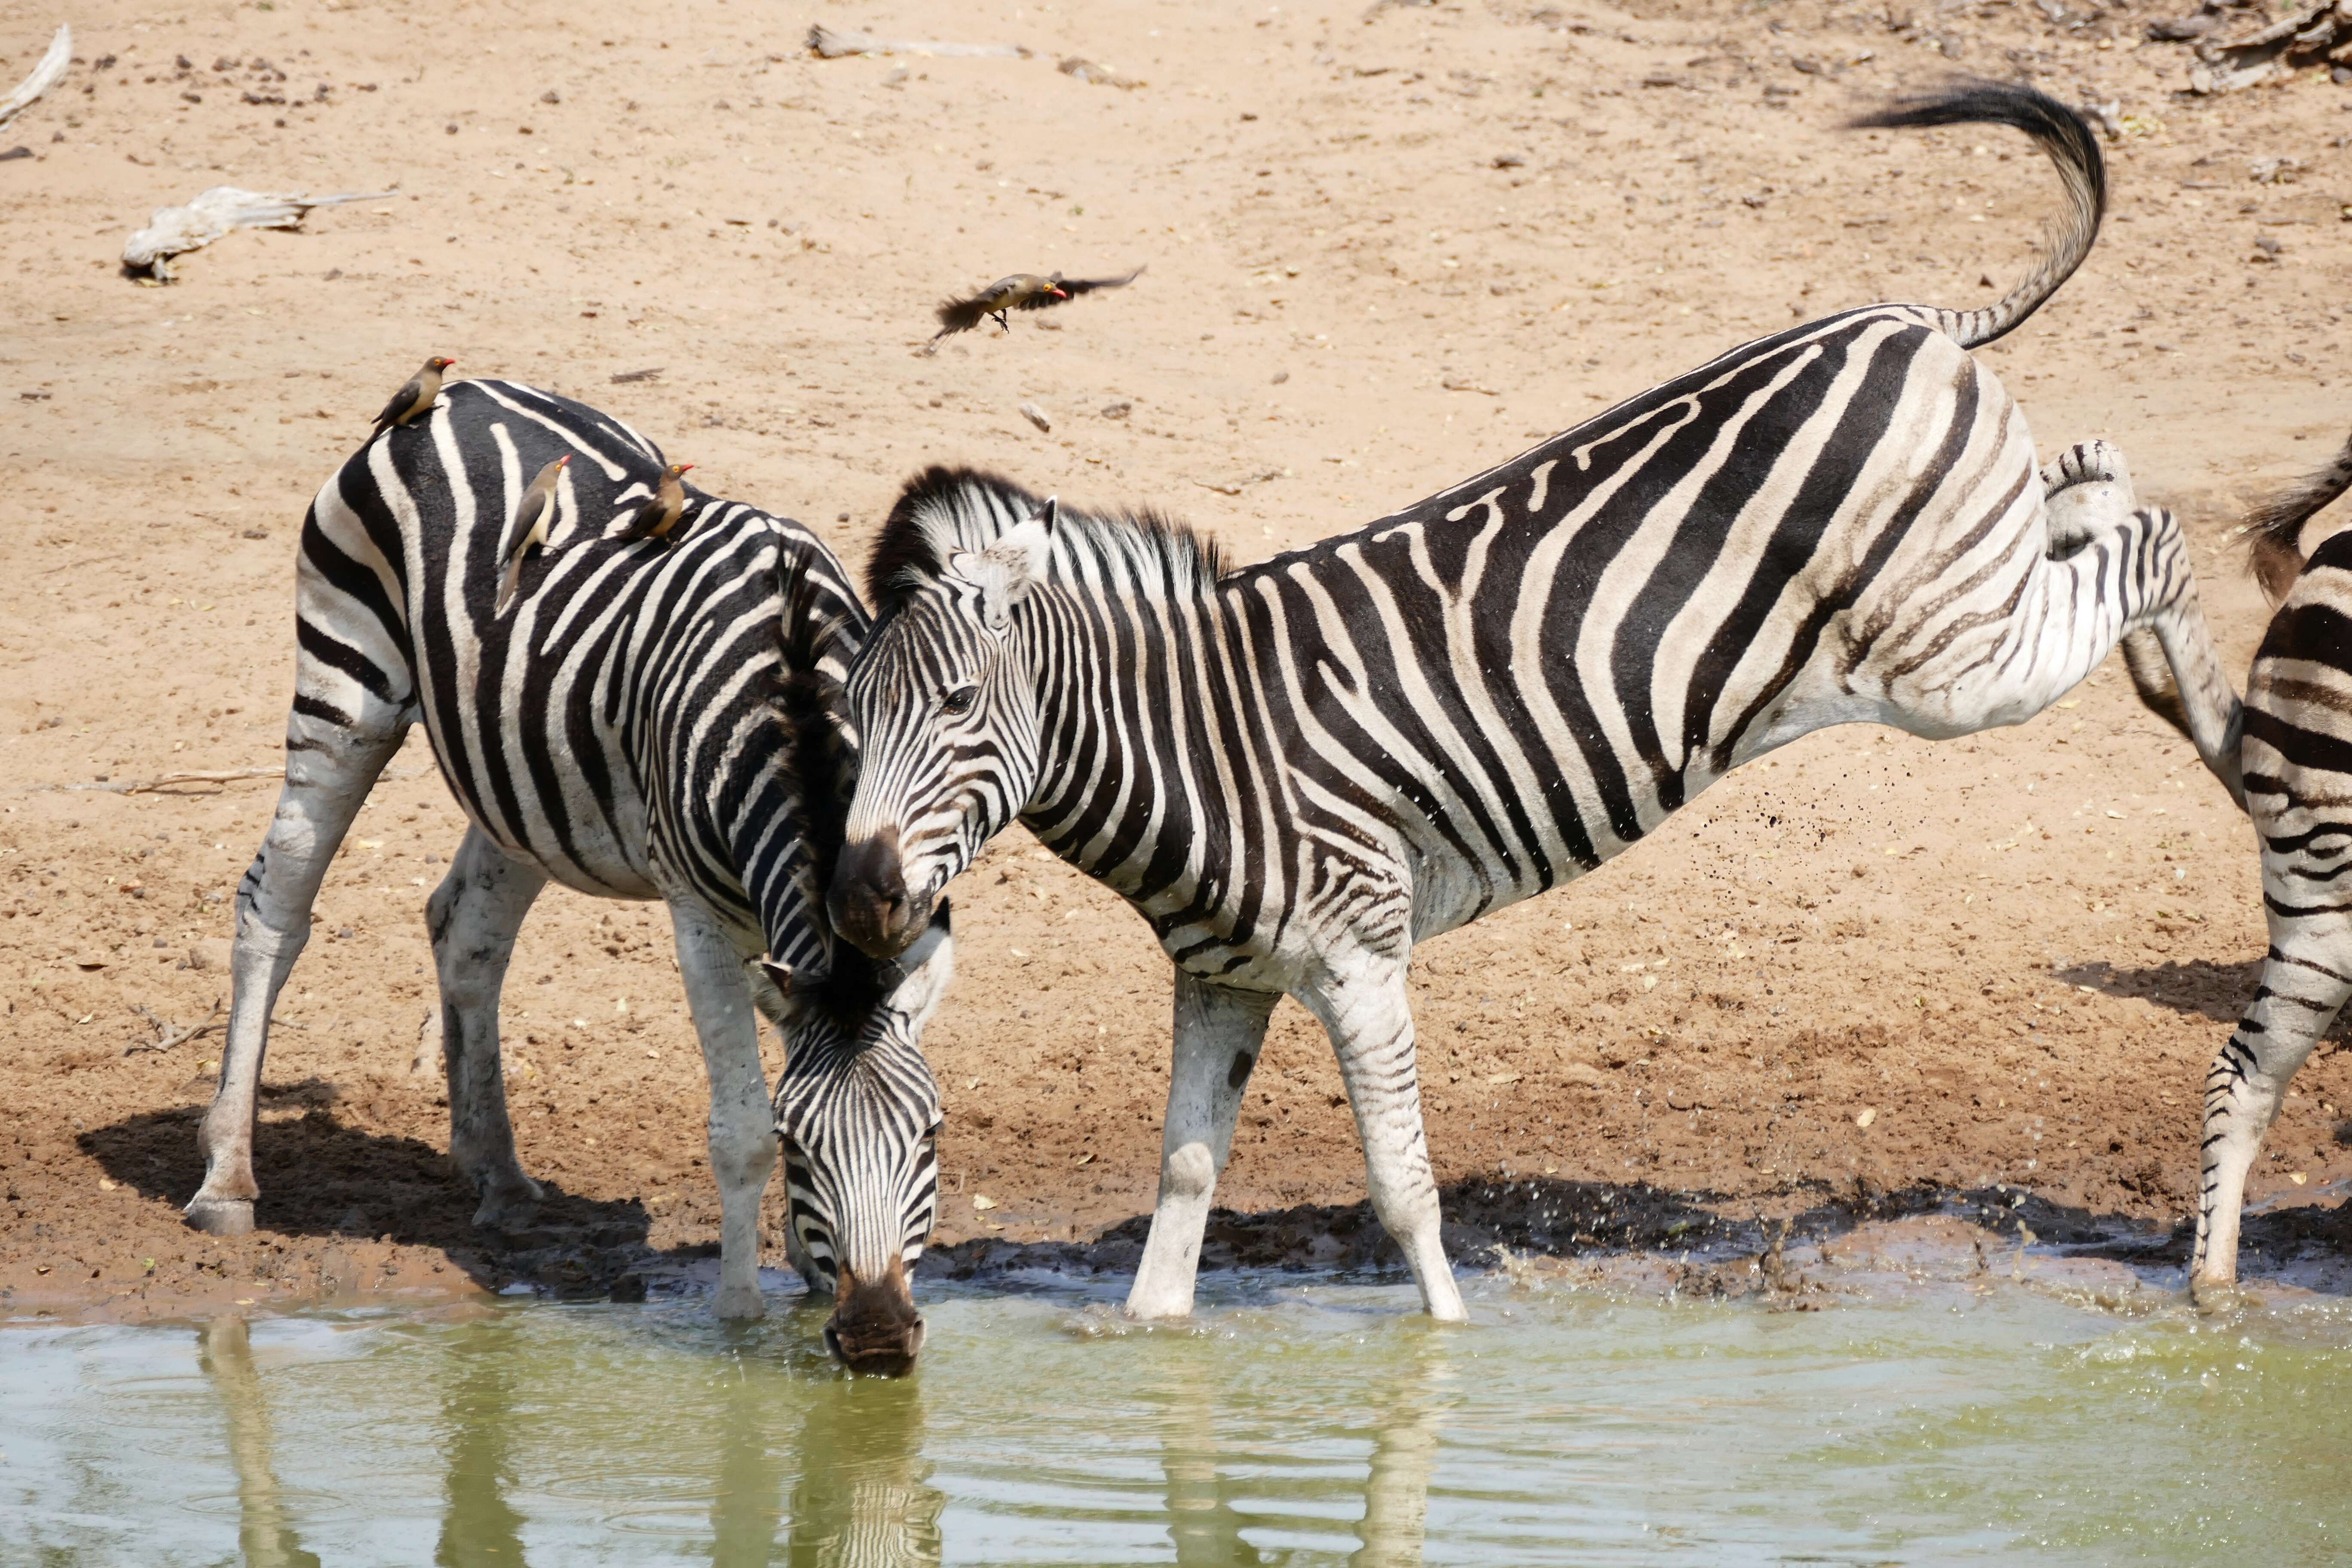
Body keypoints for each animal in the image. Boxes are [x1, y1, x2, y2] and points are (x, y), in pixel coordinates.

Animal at [181, 381, 955, 1373]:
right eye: (801, 1146)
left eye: (930, 1134)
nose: (879, 1340)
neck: (795, 697)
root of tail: (455, 390)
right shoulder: (699, 919)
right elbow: (737, 1124)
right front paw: (742, 1316)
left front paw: (811, 1274)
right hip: (344, 683)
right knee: (274, 907)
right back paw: (227, 1181)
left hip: (517, 778)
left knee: (464, 931)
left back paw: (499, 1175)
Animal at [823, 83, 2239, 1326]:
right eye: (850, 718)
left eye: (957, 702)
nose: (857, 901)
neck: (1198, 746)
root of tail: (1901, 318)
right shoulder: (1225, 979)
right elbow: (1182, 1183)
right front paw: (1146, 1351)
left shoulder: (1358, 959)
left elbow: (1403, 1194)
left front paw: (1447, 1355)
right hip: (1971, 591)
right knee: (2099, 483)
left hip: (1954, 664)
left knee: (2155, 540)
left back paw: (2217, 727)